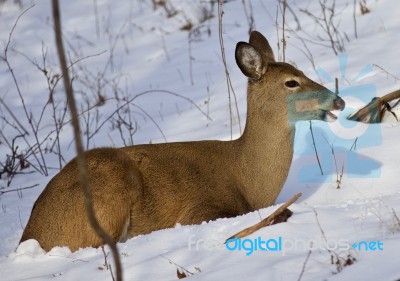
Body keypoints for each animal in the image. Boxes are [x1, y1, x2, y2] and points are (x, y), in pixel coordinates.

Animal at [19, 31, 344, 252]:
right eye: (291, 82)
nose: (339, 100)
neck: (249, 180)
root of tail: (31, 233)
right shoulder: (198, 211)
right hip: (108, 192)